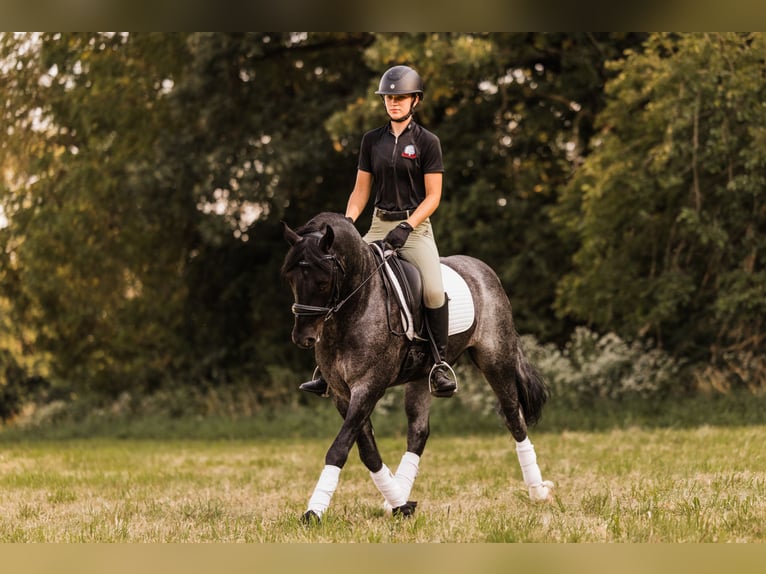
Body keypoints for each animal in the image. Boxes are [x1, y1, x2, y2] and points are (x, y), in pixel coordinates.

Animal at [281, 212, 553, 523]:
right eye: (290, 278)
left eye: (323, 282)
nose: (303, 338)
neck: (357, 306)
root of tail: (483, 270)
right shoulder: (342, 393)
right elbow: (367, 450)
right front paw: (400, 504)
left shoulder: (368, 386)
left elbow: (339, 449)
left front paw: (313, 511)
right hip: (421, 377)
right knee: (419, 433)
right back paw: (398, 494)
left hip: (496, 360)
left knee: (513, 417)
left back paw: (538, 490)